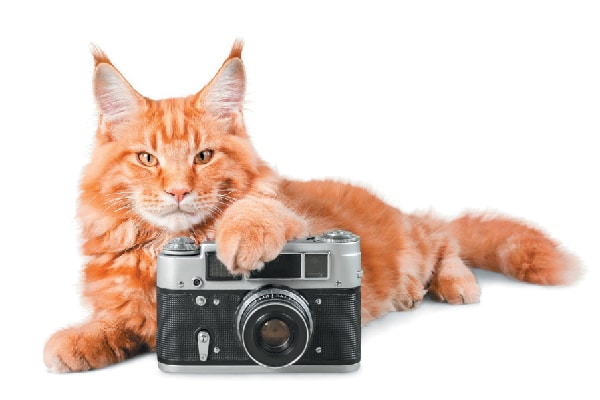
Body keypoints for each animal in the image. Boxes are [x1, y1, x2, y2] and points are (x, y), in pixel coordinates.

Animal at [43, 40, 580, 372]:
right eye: (147, 159)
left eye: (203, 157)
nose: (177, 191)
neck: (163, 247)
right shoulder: (136, 308)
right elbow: (115, 322)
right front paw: (76, 342)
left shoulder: (296, 218)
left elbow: (255, 213)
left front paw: (241, 238)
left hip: (416, 242)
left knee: (442, 235)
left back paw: (454, 284)